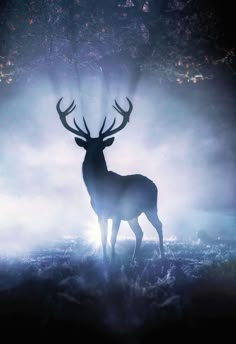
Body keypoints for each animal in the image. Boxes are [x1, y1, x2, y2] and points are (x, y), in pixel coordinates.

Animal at [56, 97, 164, 260]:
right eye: (88, 145)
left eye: (101, 145)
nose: (94, 152)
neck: (99, 187)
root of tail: (154, 185)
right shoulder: (100, 214)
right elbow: (103, 238)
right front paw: (106, 260)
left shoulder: (117, 213)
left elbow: (113, 239)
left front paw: (113, 260)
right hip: (132, 215)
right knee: (140, 232)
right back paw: (134, 259)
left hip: (151, 207)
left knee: (159, 225)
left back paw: (163, 256)